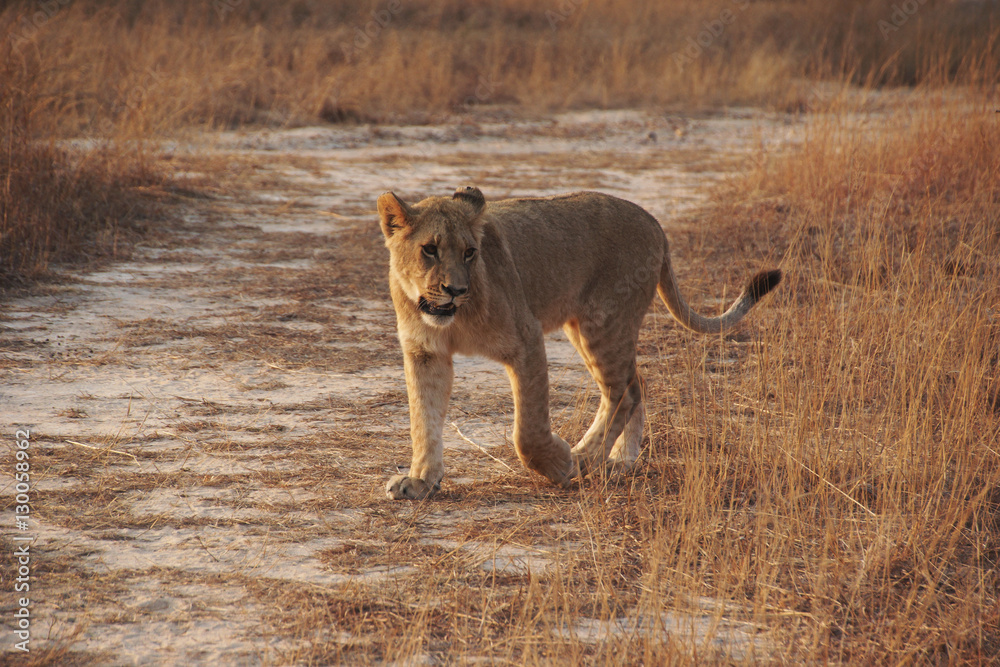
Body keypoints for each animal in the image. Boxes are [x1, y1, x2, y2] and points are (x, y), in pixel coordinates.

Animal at [379, 186, 781, 500]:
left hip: (601, 323)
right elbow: (423, 417)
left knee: (625, 393)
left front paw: (559, 463)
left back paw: (584, 458)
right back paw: (621, 459)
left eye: (469, 252)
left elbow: (527, 431)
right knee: (636, 383)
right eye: (430, 250)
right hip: (593, 328)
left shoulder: (526, 338)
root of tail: (654, 223)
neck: (452, 317)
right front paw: (421, 480)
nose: (456, 290)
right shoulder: (425, 353)